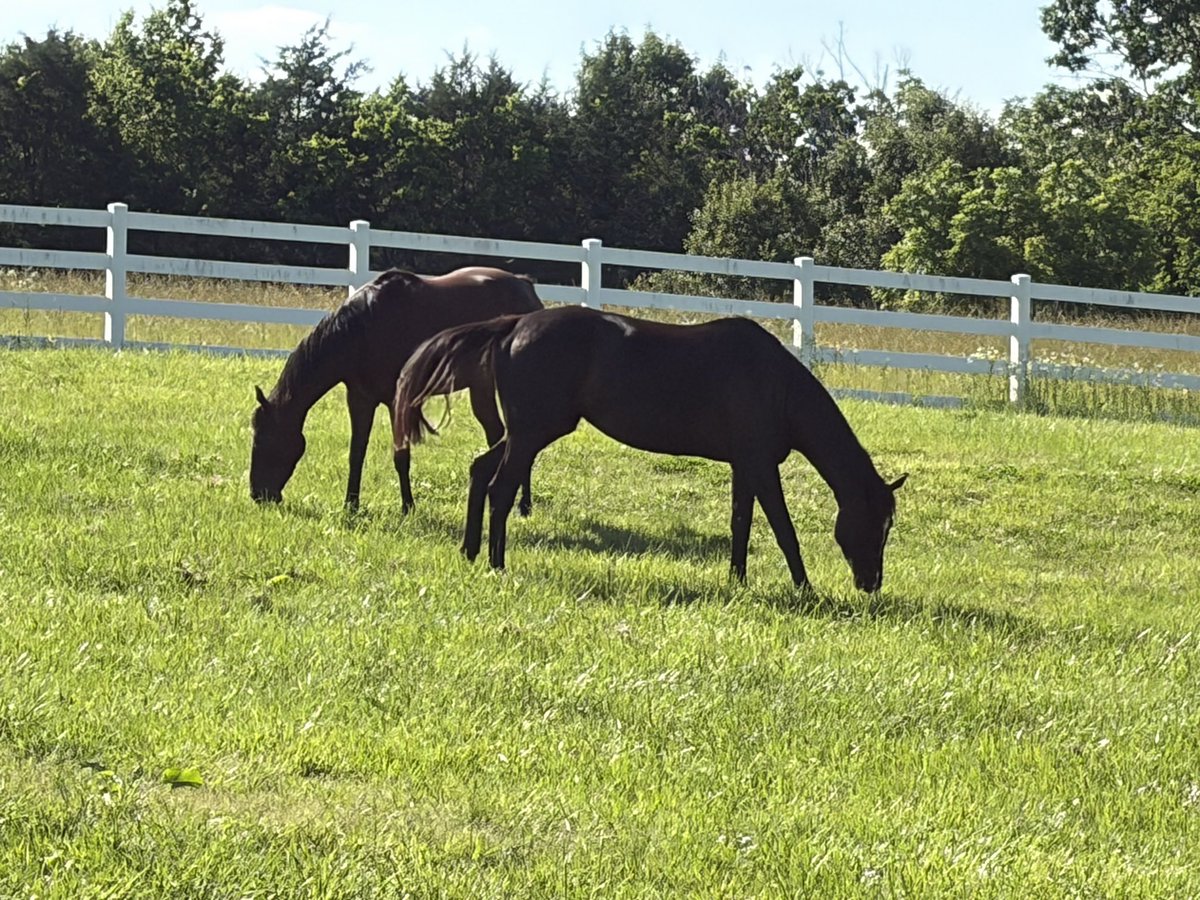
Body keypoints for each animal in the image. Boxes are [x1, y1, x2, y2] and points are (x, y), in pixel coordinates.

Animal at [250, 267, 543, 512]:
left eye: (263, 439)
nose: (258, 494)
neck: (362, 330)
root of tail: (526, 288)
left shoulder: (396, 401)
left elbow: (401, 455)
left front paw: (407, 507)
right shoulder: (360, 399)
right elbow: (356, 453)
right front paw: (351, 506)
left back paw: (524, 505)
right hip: (480, 386)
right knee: (498, 435)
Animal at [393, 305, 907, 593]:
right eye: (875, 525)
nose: (871, 584)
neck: (775, 384)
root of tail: (514, 325)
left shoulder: (745, 466)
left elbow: (741, 524)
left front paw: (737, 580)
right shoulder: (762, 466)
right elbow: (783, 529)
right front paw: (805, 588)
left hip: (523, 433)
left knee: (480, 471)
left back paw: (470, 551)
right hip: (531, 434)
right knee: (500, 489)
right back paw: (498, 564)